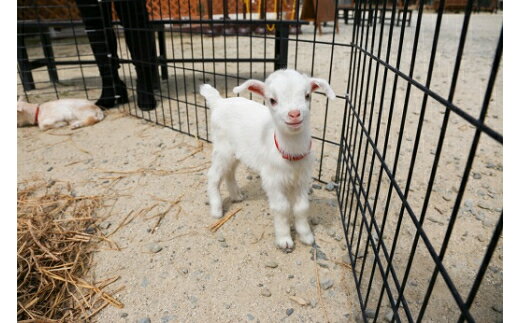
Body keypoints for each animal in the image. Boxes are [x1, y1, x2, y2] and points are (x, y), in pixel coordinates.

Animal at [199, 69, 338, 253]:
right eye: (272, 100)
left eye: (307, 95)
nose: (294, 114)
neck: (291, 153)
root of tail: (218, 102)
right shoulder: (272, 179)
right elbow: (282, 208)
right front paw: (284, 240)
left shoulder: (302, 179)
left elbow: (302, 208)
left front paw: (306, 236)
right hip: (223, 149)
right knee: (213, 175)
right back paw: (216, 209)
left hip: (237, 152)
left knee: (230, 172)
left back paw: (237, 195)